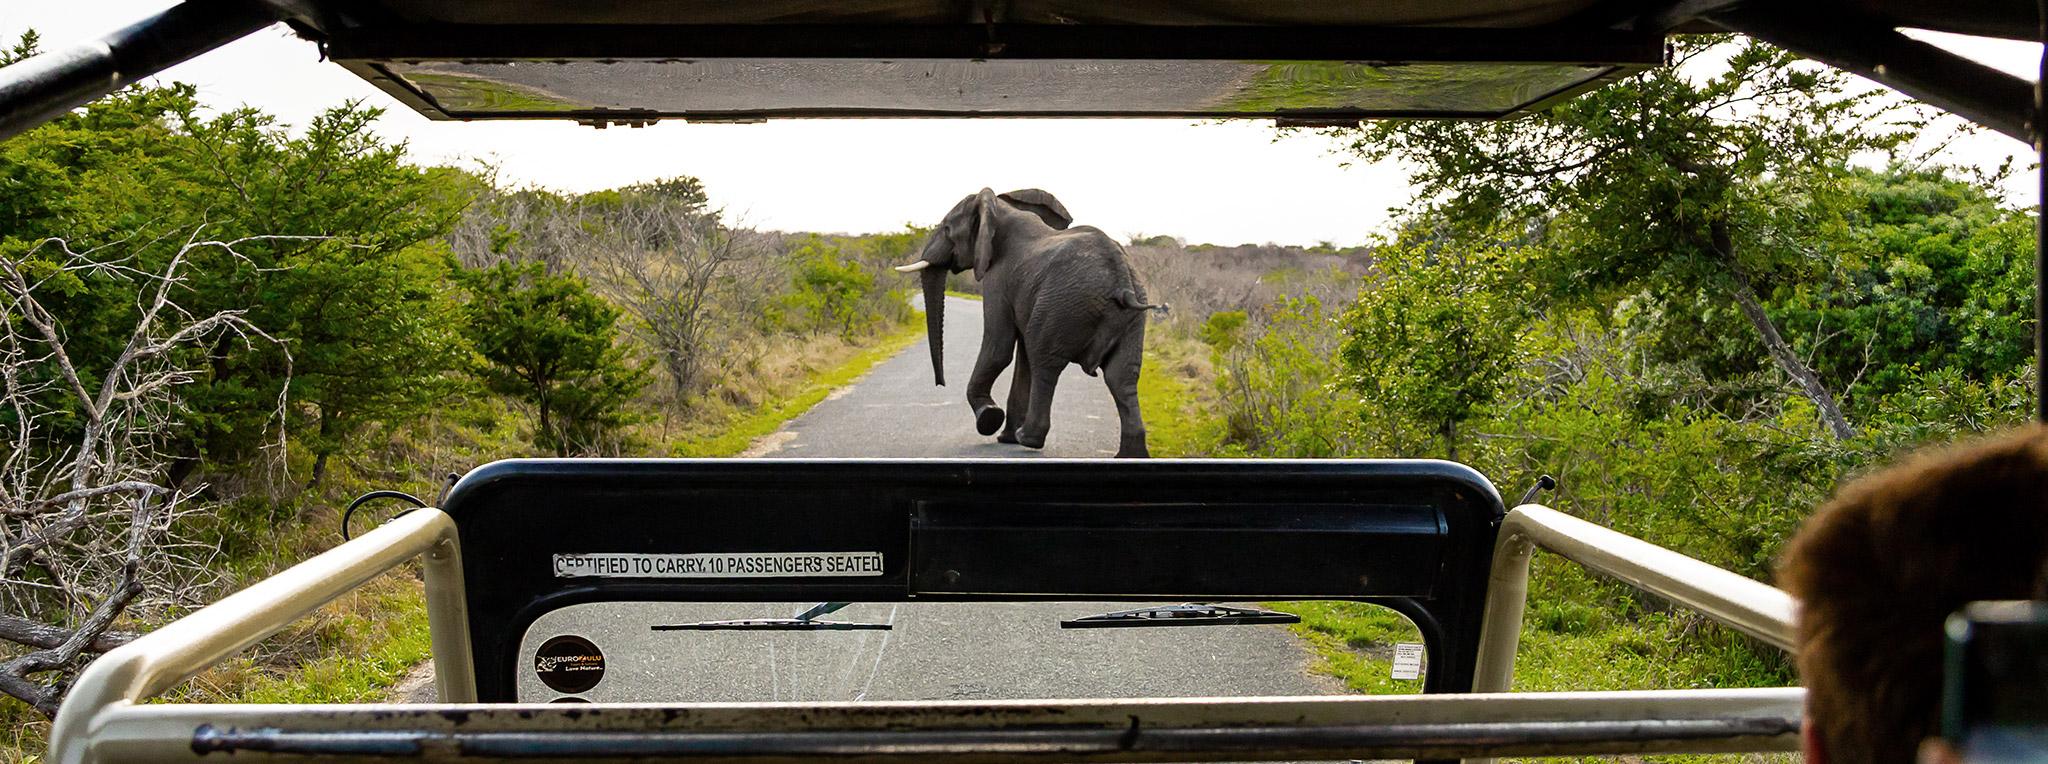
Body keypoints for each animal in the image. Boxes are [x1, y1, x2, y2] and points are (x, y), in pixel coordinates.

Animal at [895, 188, 1166, 458]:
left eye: (947, 228)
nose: (940, 383)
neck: (1000, 209)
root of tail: (1121, 276)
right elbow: (1021, 356)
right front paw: (1004, 438)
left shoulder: (997, 278)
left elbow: (999, 348)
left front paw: (989, 419)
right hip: (1129, 318)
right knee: (1122, 376)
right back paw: (1129, 455)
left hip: (1062, 305)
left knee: (1044, 363)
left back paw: (1028, 438)